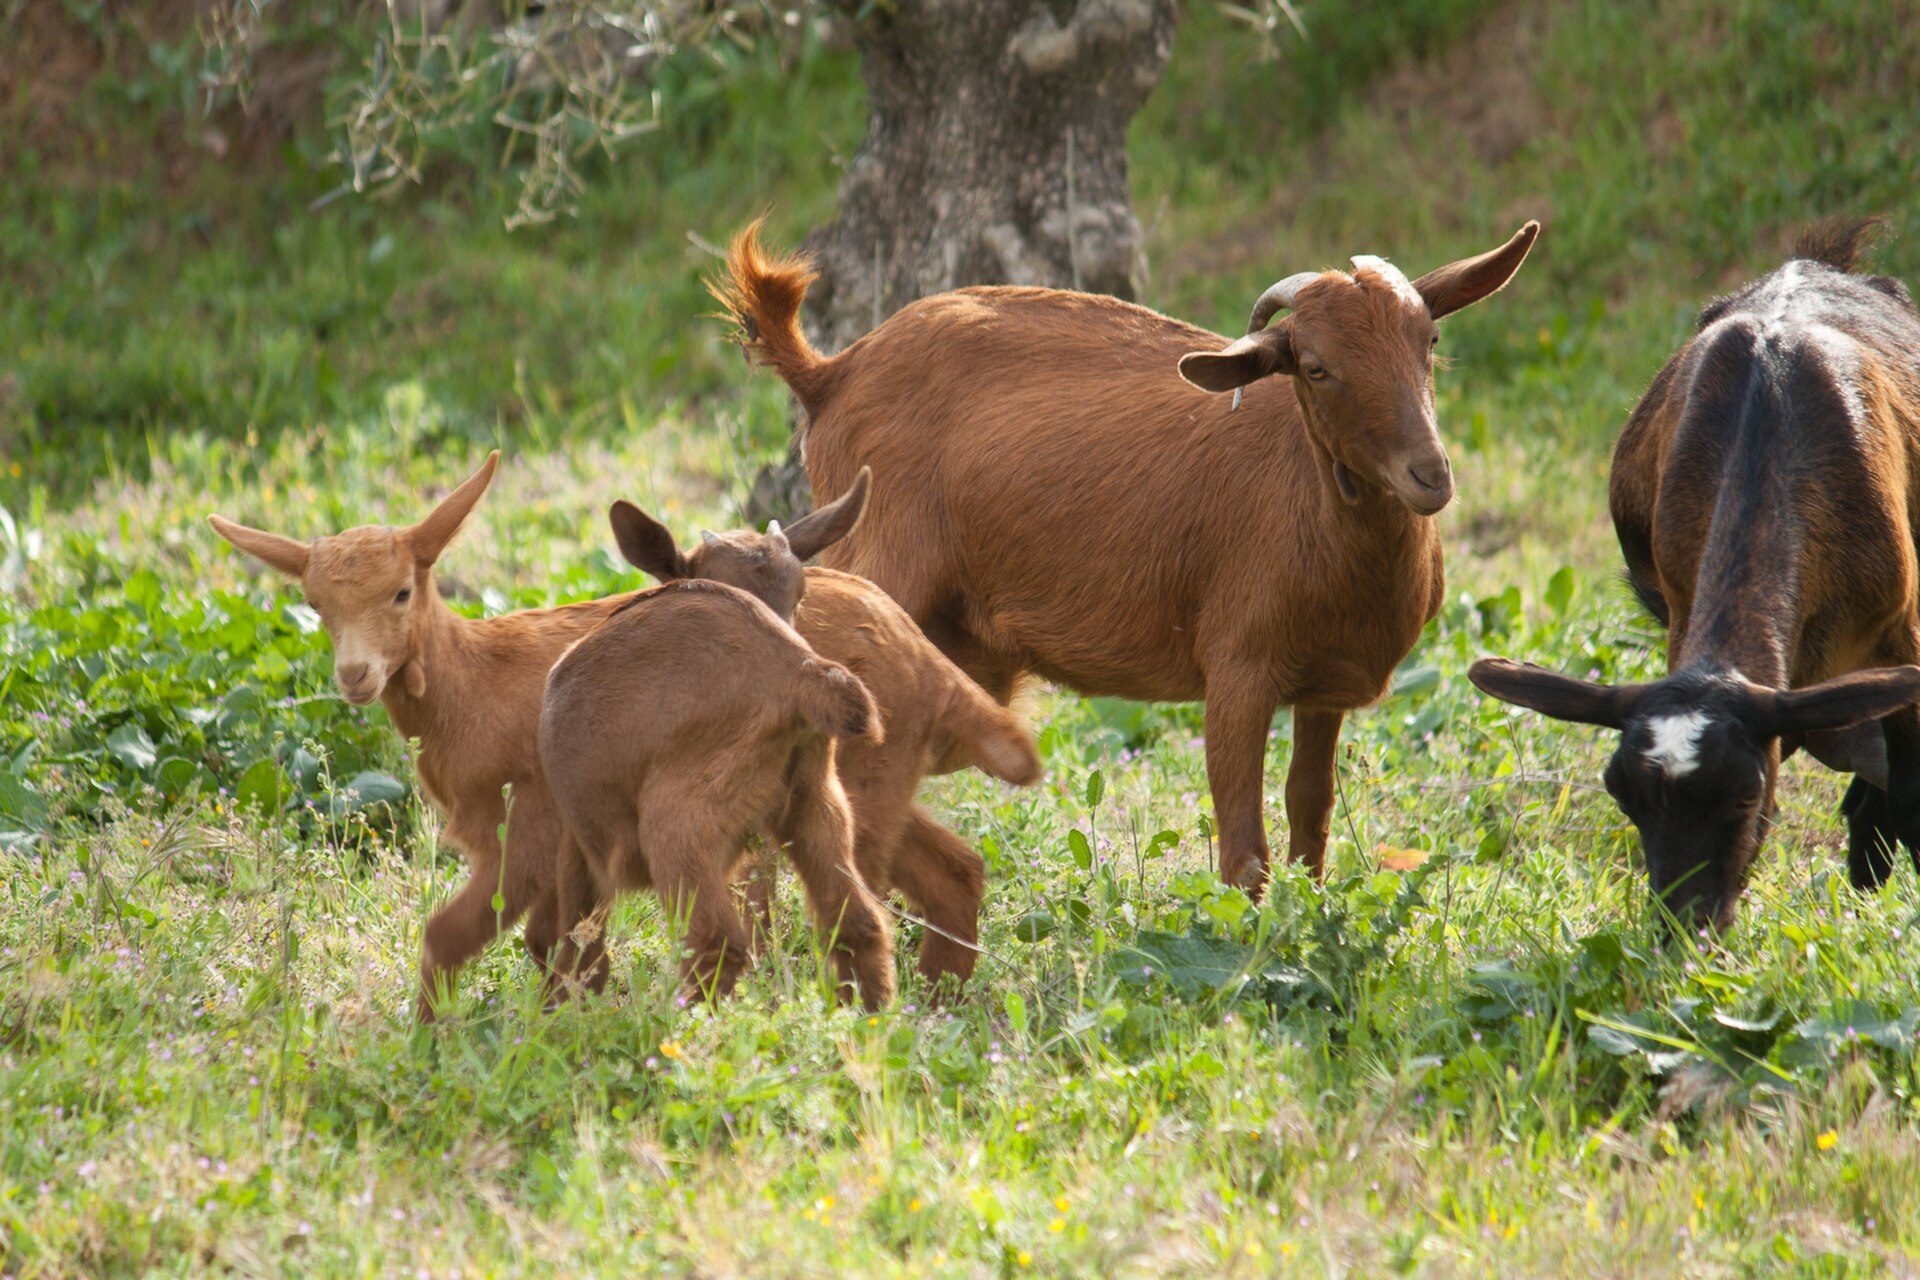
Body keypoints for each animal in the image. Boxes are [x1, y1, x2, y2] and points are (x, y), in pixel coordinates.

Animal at [714, 218, 1538, 894]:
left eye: (1429, 341)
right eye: (1314, 366)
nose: (1429, 475)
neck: (1315, 515)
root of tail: (833, 373)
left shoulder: (1323, 687)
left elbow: (1310, 823)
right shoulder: (1237, 670)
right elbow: (1243, 850)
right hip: (871, 579)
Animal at [1470, 217, 1920, 931]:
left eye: (1745, 796)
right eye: (1625, 798)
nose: (1685, 924)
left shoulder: (1901, 629)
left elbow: (1909, 793)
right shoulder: (1682, 607)